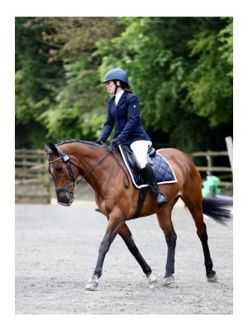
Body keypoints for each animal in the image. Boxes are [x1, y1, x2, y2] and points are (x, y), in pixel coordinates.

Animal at [43, 141, 232, 292]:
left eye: (59, 168)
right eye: (50, 172)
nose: (63, 200)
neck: (106, 172)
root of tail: (183, 157)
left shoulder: (117, 216)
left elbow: (104, 245)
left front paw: (94, 279)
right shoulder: (114, 218)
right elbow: (132, 246)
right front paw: (150, 275)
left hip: (193, 201)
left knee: (202, 232)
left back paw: (210, 272)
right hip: (163, 210)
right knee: (171, 237)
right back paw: (169, 276)